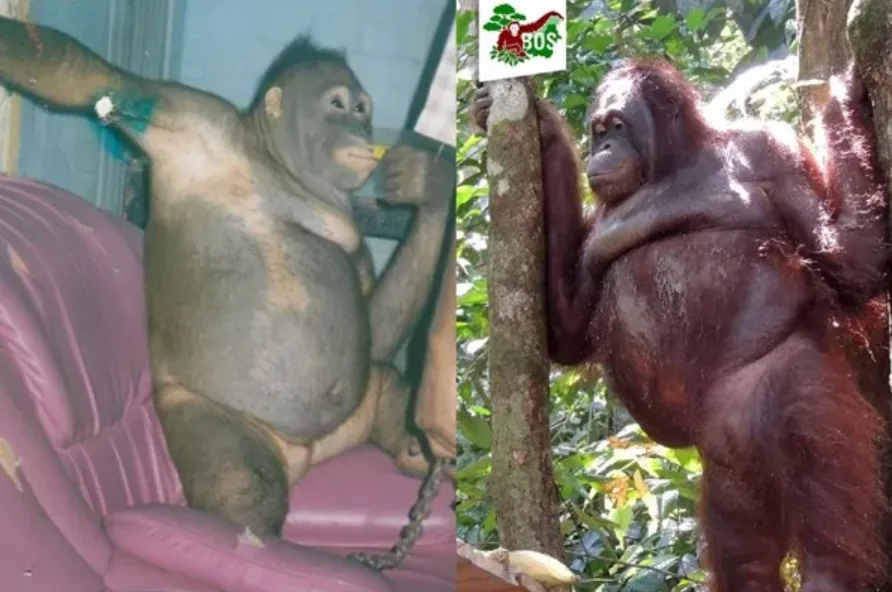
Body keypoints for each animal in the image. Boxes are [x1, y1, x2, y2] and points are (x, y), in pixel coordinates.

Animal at [0, 18, 454, 538]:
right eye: (338, 105)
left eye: (362, 110)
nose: (359, 128)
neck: (280, 165)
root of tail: (303, 458)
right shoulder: (195, 116)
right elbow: (100, 83)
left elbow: (374, 327)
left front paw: (430, 185)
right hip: (215, 419)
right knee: (242, 492)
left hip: (350, 418)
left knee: (386, 387)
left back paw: (420, 446)